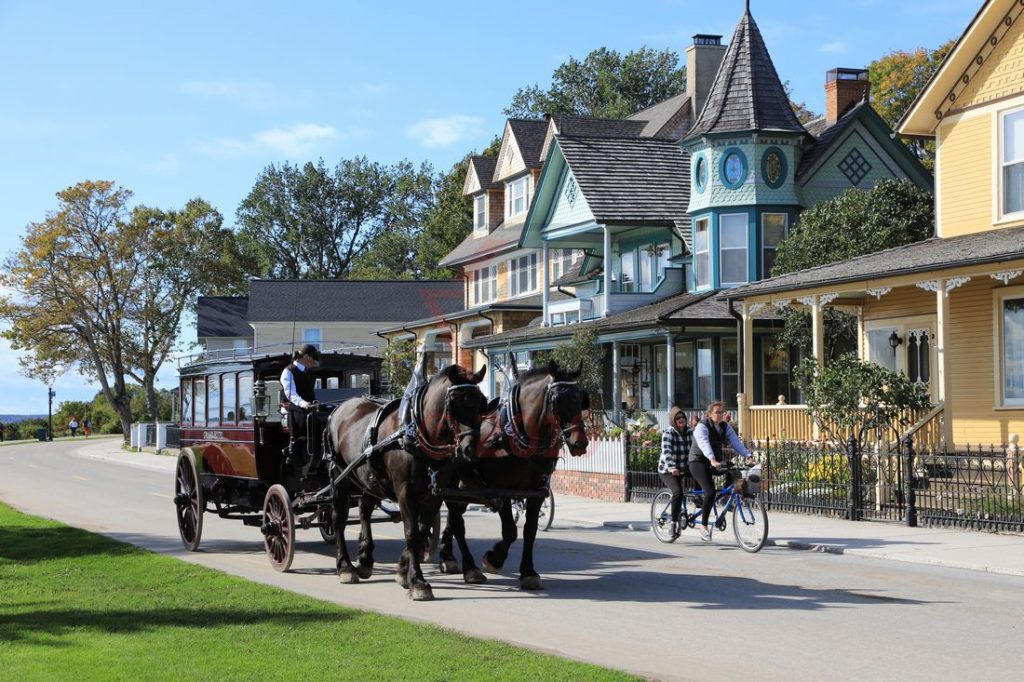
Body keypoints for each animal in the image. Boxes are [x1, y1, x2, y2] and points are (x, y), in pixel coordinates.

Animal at [327, 364, 487, 598]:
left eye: (482, 402)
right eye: (456, 402)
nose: (470, 450)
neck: (417, 436)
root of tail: (339, 408)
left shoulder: (435, 493)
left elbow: (423, 530)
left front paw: (404, 572)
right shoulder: (405, 492)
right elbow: (411, 533)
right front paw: (418, 581)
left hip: (369, 479)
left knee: (364, 508)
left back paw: (365, 559)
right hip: (340, 479)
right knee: (338, 519)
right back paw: (345, 567)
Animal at [434, 360, 593, 589]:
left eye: (581, 398)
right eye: (557, 399)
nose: (579, 443)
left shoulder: (536, 491)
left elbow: (530, 530)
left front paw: (528, 572)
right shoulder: (501, 490)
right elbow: (510, 531)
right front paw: (493, 559)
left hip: (466, 488)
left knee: (454, 518)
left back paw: (448, 557)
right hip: (452, 485)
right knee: (457, 521)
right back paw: (470, 568)